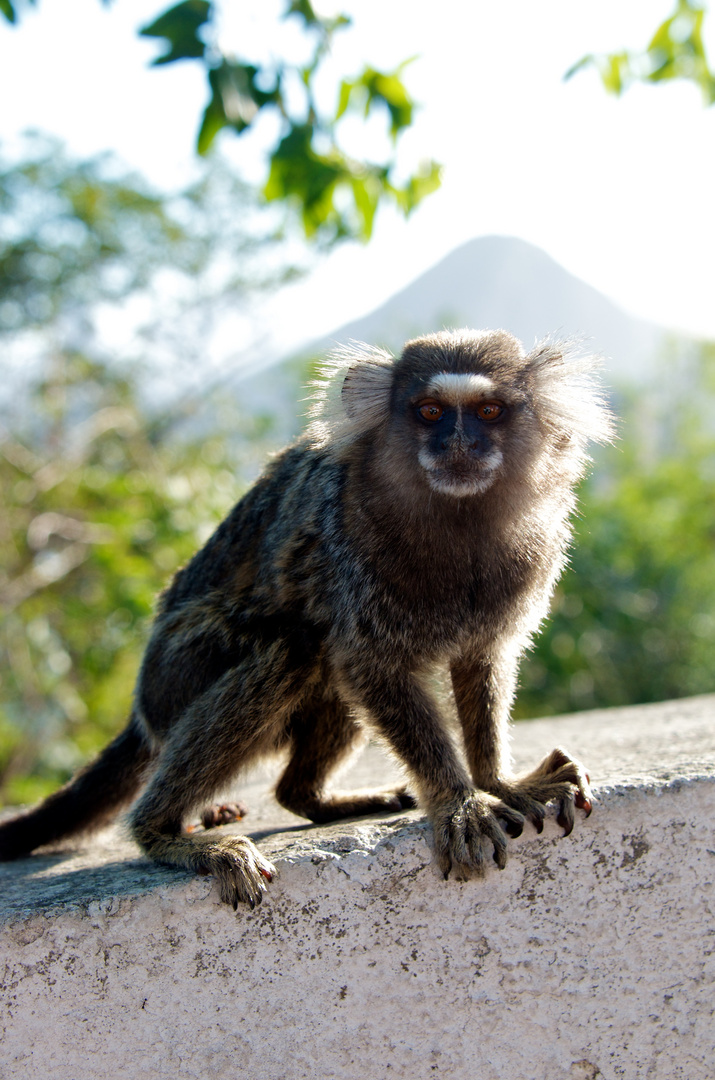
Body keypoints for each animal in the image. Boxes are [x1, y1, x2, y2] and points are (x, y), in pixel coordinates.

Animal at [0, 326, 617, 902]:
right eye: (430, 411)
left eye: (488, 411)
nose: (458, 441)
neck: (458, 521)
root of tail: (142, 706)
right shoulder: (351, 548)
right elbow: (370, 666)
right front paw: (458, 802)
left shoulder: (527, 563)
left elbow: (481, 660)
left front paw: (499, 781)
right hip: (175, 673)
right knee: (293, 648)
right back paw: (165, 832)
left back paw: (311, 798)